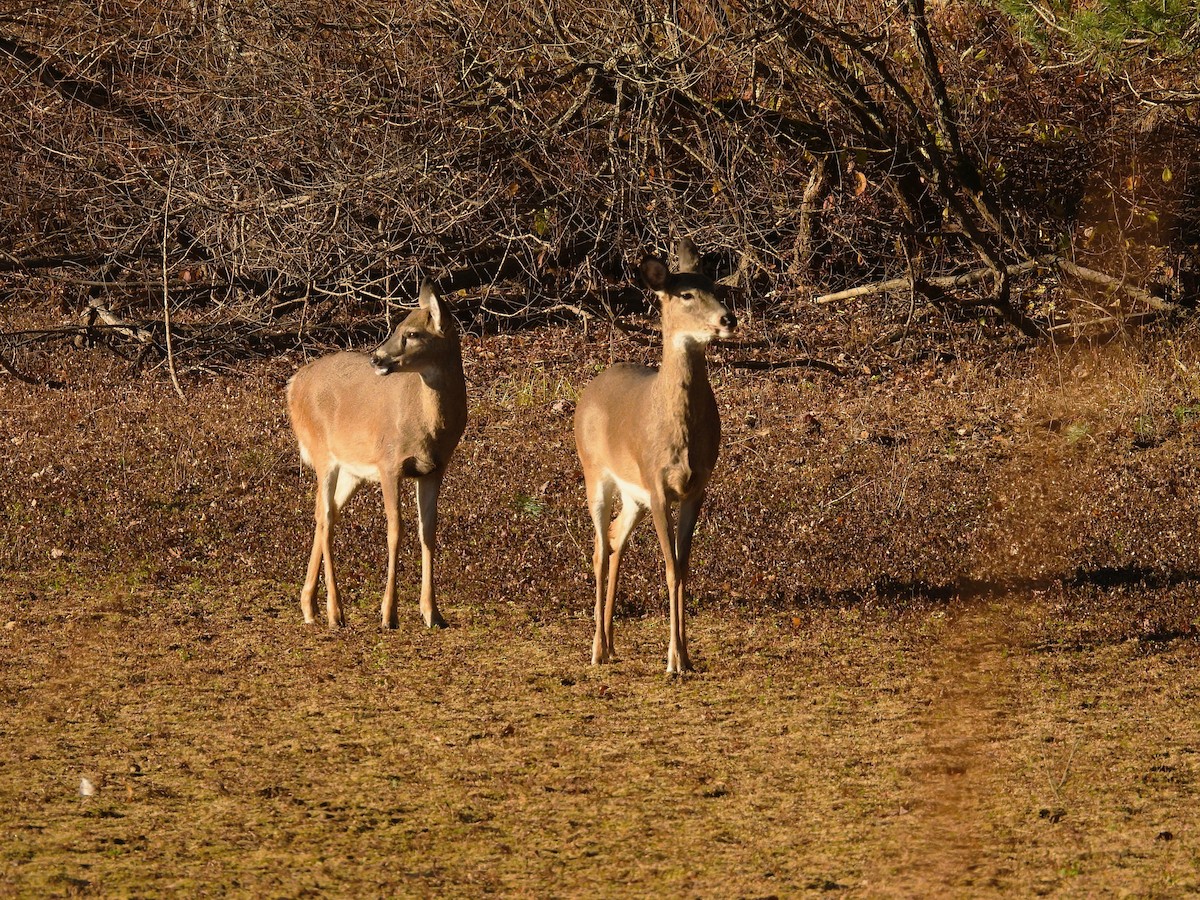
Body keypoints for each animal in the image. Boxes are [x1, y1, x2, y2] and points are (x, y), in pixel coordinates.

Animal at [286, 281, 467, 630]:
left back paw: (309, 607)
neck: (427, 425)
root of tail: (293, 383)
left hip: (351, 471)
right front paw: (388, 614)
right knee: (326, 517)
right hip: (322, 452)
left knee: (324, 514)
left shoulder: (434, 469)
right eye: (395, 328)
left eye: (411, 333)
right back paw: (335, 612)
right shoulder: (389, 463)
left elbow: (428, 532)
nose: (377, 358)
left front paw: (432, 613)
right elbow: (395, 530)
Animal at [574, 239, 737, 673]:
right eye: (685, 294)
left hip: (634, 496)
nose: (728, 318)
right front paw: (673, 660)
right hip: (594, 472)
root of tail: (593, 385)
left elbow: (683, 567)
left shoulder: (697, 488)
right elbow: (669, 569)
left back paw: (611, 645)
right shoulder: (658, 484)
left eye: (716, 286)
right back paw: (596, 649)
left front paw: (686, 656)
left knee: (615, 539)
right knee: (598, 549)